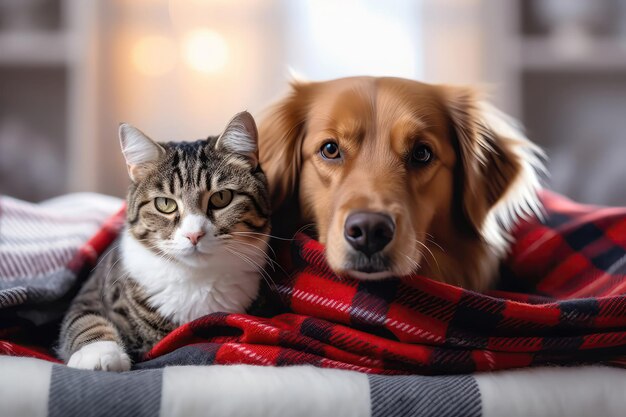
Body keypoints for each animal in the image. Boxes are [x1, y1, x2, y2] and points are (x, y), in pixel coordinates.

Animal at [58, 111, 270, 370]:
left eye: (221, 198)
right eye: (165, 204)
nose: (194, 234)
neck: (195, 280)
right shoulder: (93, 289)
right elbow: (84, 318)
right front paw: (98, 353)